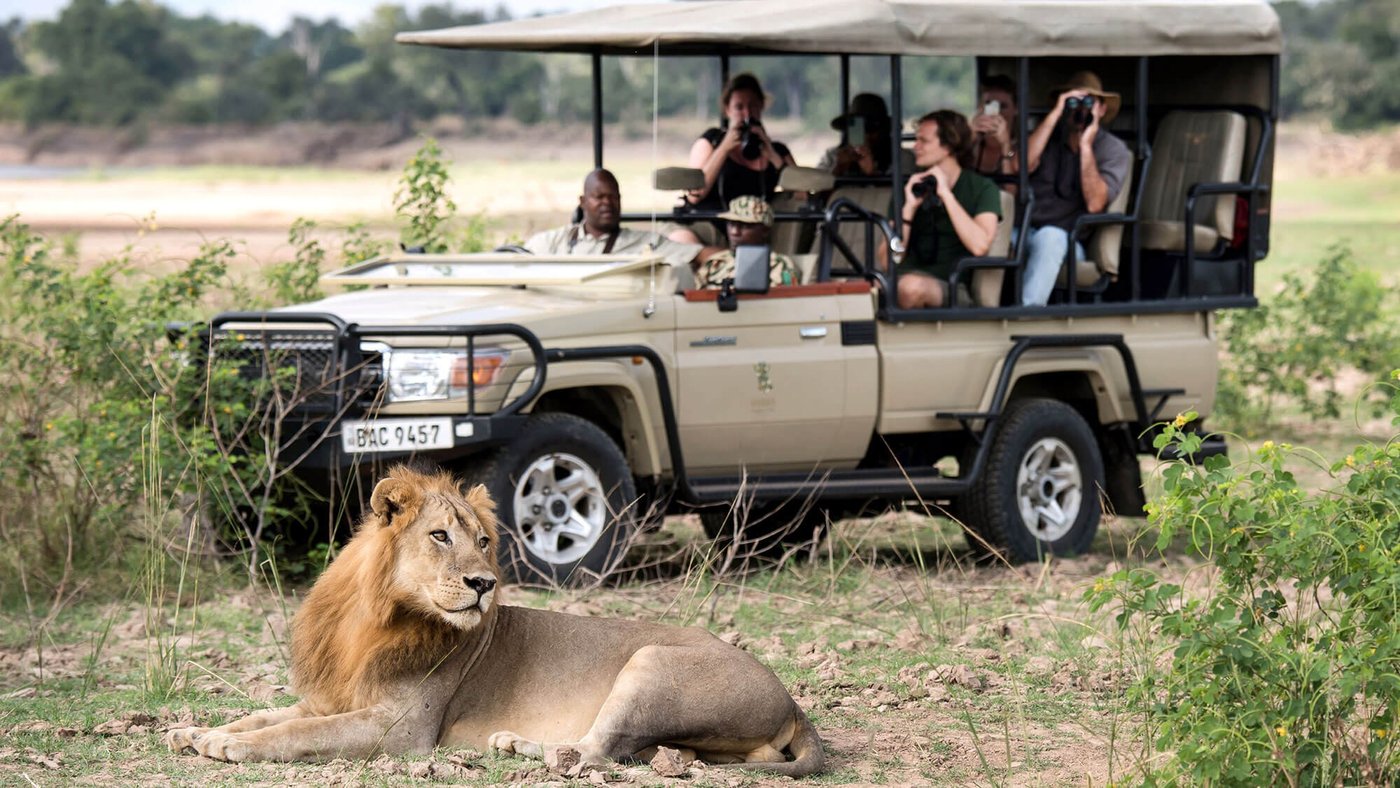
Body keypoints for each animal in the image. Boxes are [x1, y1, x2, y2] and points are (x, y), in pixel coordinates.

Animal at [166, 465, 824, 776]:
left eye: (483, 542)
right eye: (439, 536)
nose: (484, 584)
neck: (373, 620)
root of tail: (792, 701)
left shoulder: (403, 730)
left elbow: (298, 733)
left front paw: (230, 746)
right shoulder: (331, 697)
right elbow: (268, 715)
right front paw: (196, 731)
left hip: (652, 662)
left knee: (595, 752)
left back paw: (516, 743)